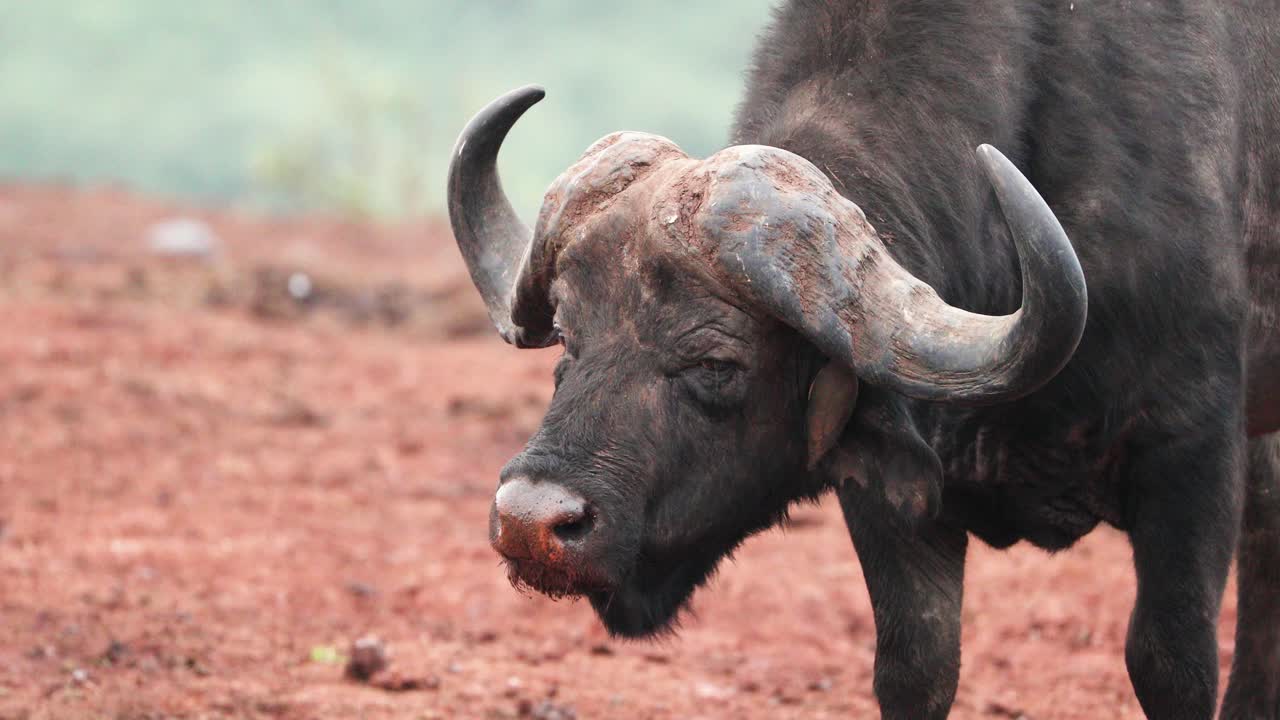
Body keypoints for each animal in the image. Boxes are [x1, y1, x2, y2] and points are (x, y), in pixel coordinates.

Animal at [447, 2, 1280, 718]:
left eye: (716, 362)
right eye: (569, 338)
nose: (530, 522)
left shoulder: (1192, 455)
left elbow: (1170, 663)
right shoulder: (896, 501)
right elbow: (916, 666)